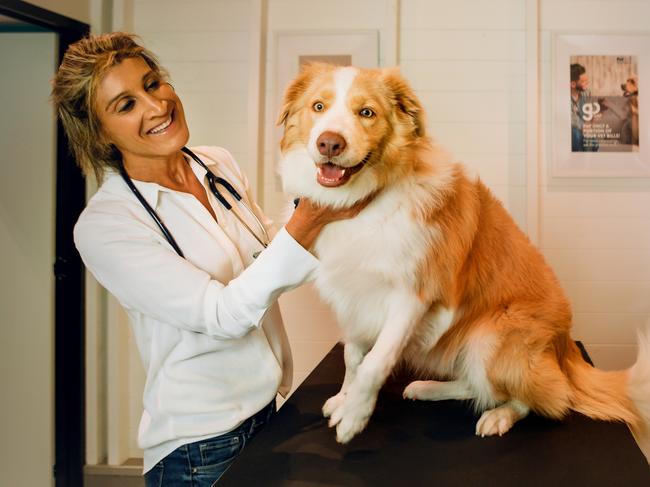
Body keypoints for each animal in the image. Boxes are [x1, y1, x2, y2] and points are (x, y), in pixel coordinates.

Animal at [276, 63, 648, 450]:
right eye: (318, 107)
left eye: (366, 113)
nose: (330, 143)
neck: (363, 203)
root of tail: (564, 345)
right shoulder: (352, 296)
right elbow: (352, 357)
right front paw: (344, 400)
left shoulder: (414, 294)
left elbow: (375, 361)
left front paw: (354, 416)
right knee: (477, 385)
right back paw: (428, 388)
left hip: (490, 336)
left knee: (546, 398)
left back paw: (500, 416)